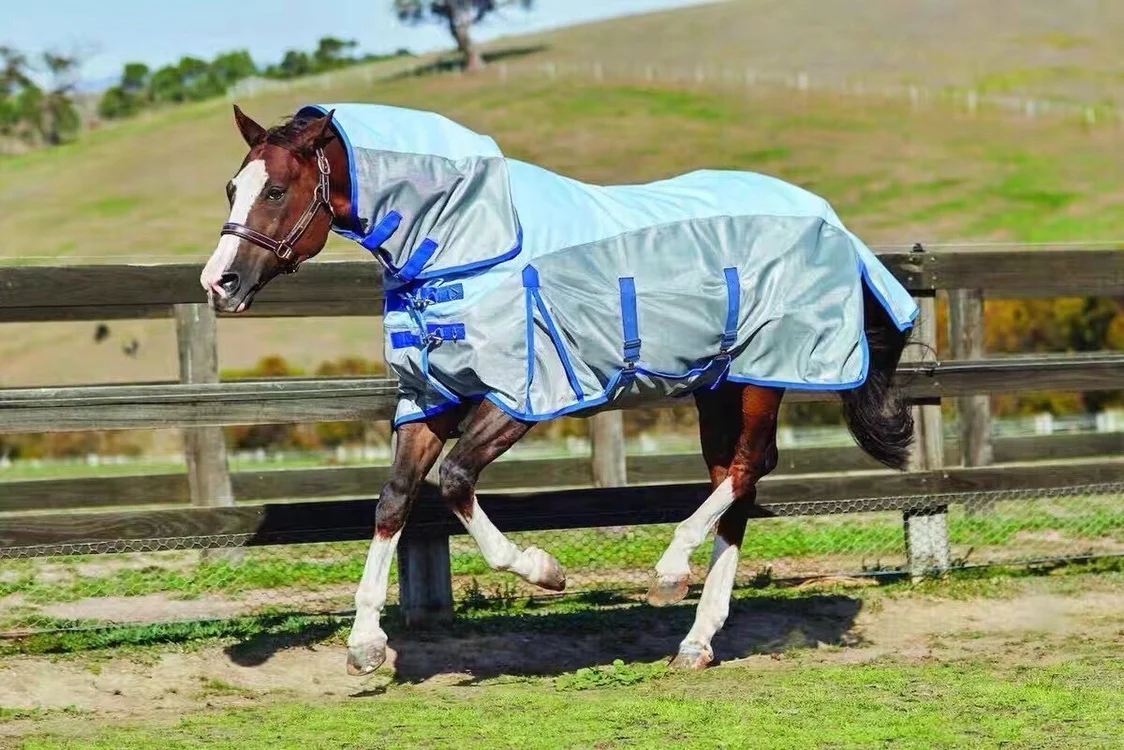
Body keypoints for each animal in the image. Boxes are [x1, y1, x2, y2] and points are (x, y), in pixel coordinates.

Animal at [201, 102, 917, 675]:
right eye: (233, 186)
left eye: (275, 191)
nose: (218, 283)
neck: (463, 244)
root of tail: (831, 221)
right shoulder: (432, 399)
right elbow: (394, 501)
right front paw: (366, 644)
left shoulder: (519, 398)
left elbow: (454, 481)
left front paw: (544, 572)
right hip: (718, 382)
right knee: (733, 480)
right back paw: (694, 639)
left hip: (764, 374)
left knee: (750, 464)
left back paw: (668, 572)